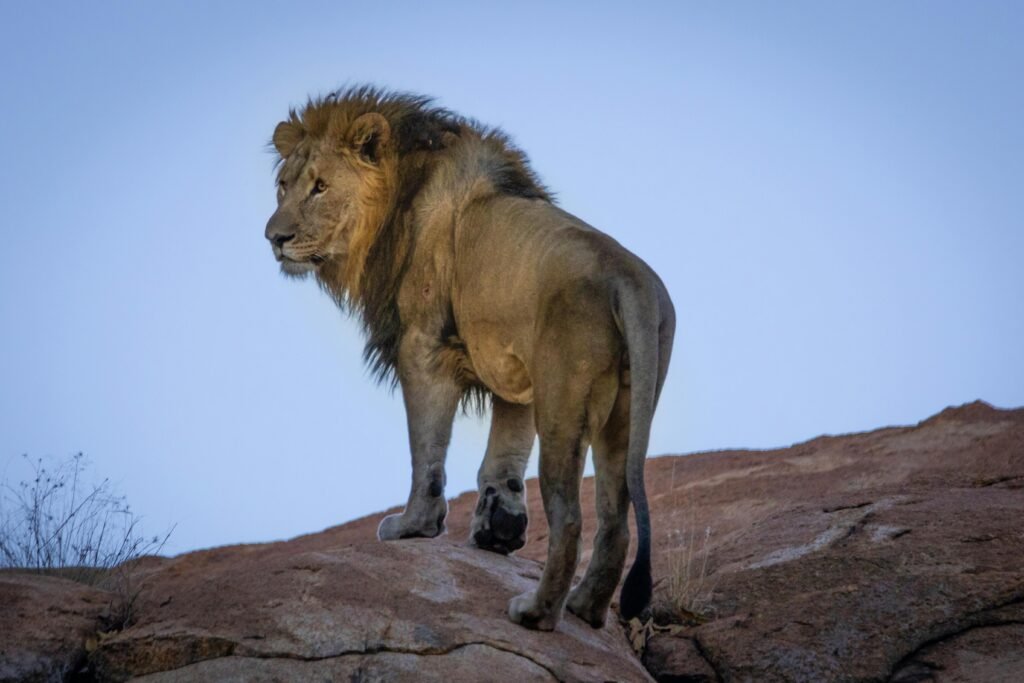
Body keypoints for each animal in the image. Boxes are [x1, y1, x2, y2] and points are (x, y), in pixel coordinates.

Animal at [264, 86, 675, 631]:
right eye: (282, 186)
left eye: (320, 187)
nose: (274, 238)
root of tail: (629, 278)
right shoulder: (516, 373)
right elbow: (502, 460)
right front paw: (498, 531)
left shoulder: (423, 347)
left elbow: (426, 450)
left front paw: (414, 525)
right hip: (624, 414)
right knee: (616, 520)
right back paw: (584, 608)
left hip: (564, 404)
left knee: (570, 519)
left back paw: (536, 613)